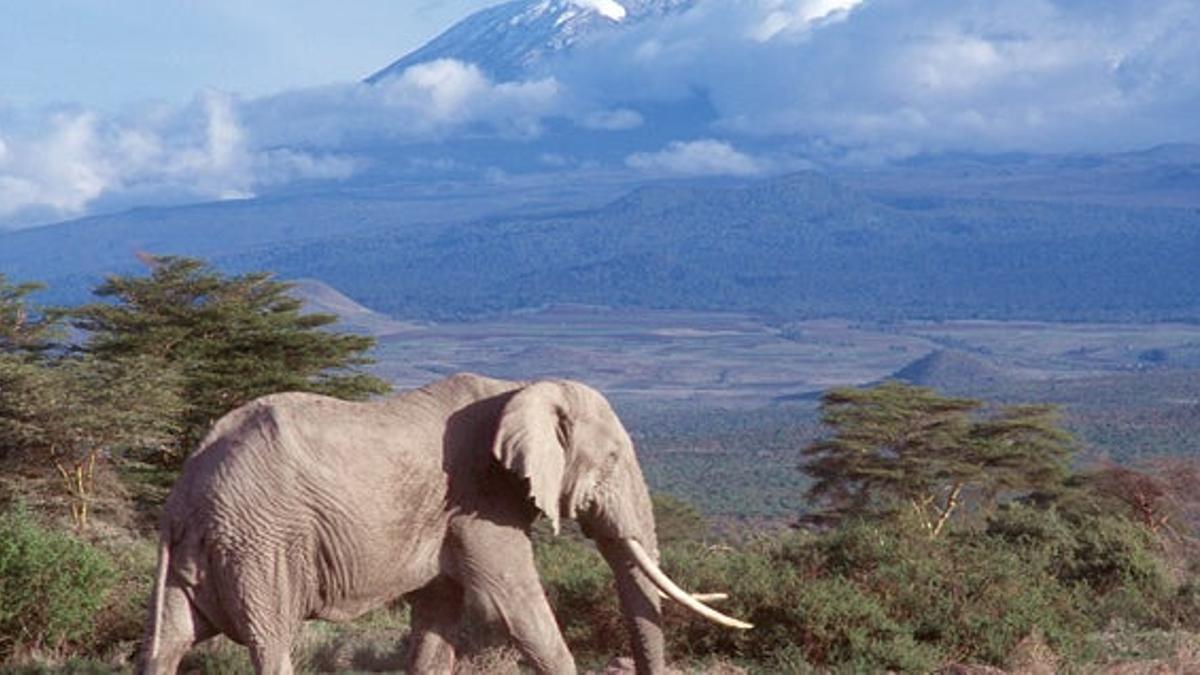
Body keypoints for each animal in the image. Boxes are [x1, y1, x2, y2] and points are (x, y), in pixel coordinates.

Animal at [136, 372, 744, 672]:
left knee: (167, 643)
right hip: (261, 544)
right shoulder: (479, 499)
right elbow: (516, 603)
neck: (520, 387)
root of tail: (182, 494)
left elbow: (437, 615)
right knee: (272, 643)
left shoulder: (447, 520)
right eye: (614, 459)